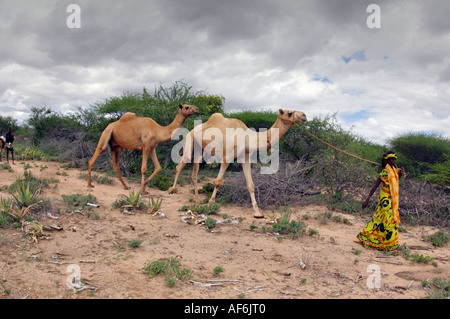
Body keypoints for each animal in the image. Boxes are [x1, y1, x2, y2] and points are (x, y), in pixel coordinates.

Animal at [168, 109, 306, 219]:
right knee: (180, 165)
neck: (247, 138)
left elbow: (251, 185)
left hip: (199, 149)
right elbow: (218, 181)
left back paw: (198, 200)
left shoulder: (245, 157)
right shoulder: (227, 156)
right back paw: (172, 189)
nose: (304, 115)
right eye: (290, 113)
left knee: (194, 172)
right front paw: (211, 203)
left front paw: (258, 213)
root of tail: (193, 129)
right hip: (190, 139)